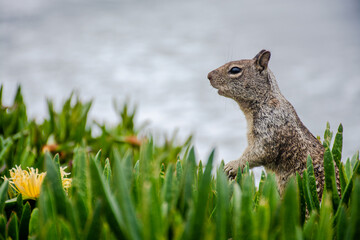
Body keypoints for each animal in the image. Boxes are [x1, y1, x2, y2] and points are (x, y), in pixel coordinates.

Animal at [207, 49, 336, 198]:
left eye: (235, 69)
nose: (208, 76)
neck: (266, 99)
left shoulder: (269, 130)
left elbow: (260, 153)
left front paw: (232, 166)